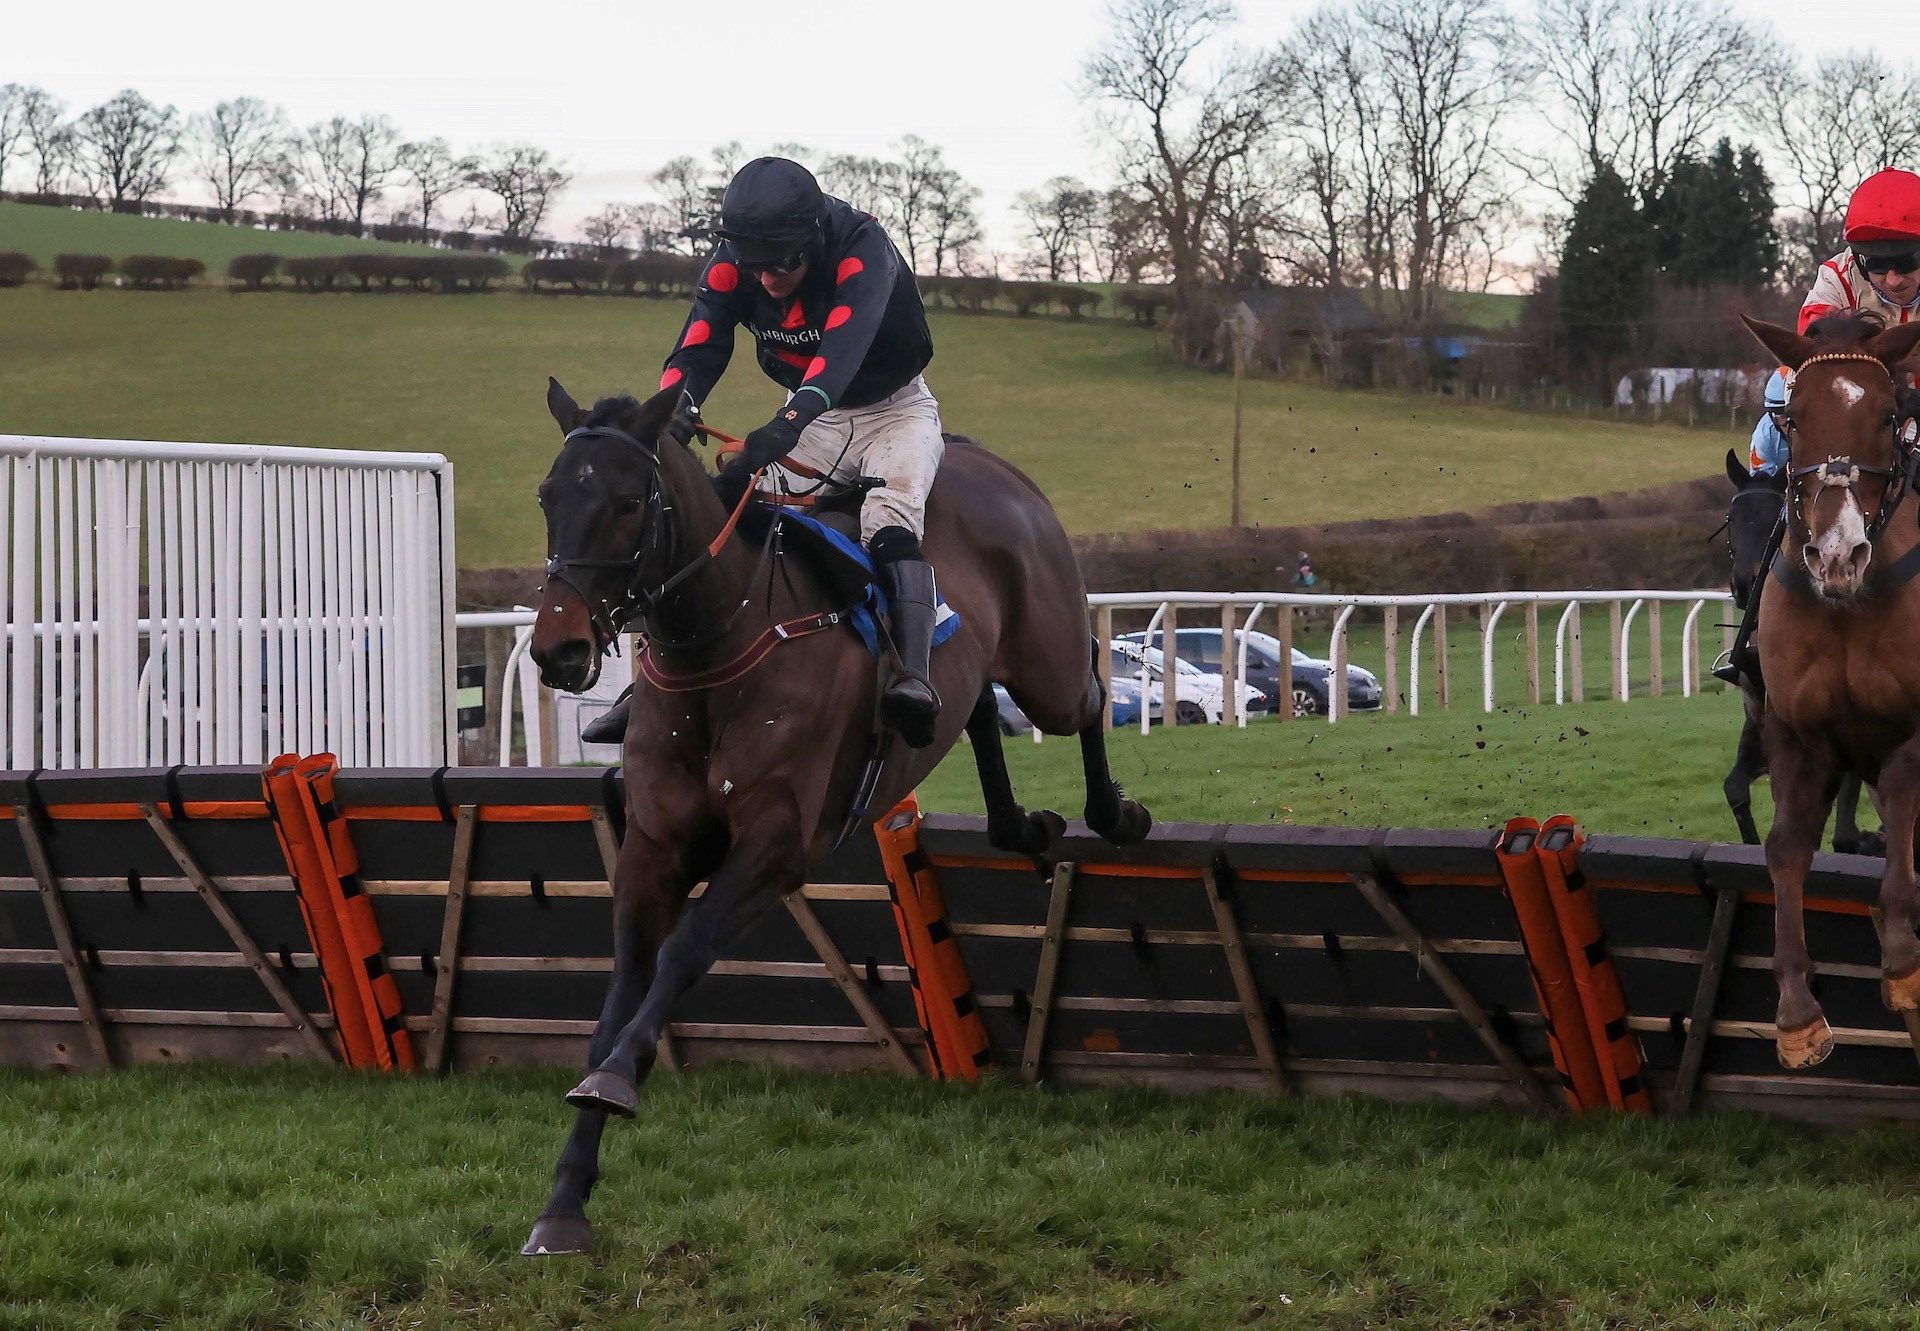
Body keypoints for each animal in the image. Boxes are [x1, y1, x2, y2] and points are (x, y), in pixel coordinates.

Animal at [518, 378, 1144, 1252]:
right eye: (548, 495)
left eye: (626, 501)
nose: (558, 649)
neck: (720, 643)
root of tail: (992, 464)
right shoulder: (651, 849)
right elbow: (620, 993)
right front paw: (565, 1198)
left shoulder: (777, 844)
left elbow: (684, 953)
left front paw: (612, 1079)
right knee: (980, 706)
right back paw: (1019, 824)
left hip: (1044, 658)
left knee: (1086, 687)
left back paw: (1114, 813)